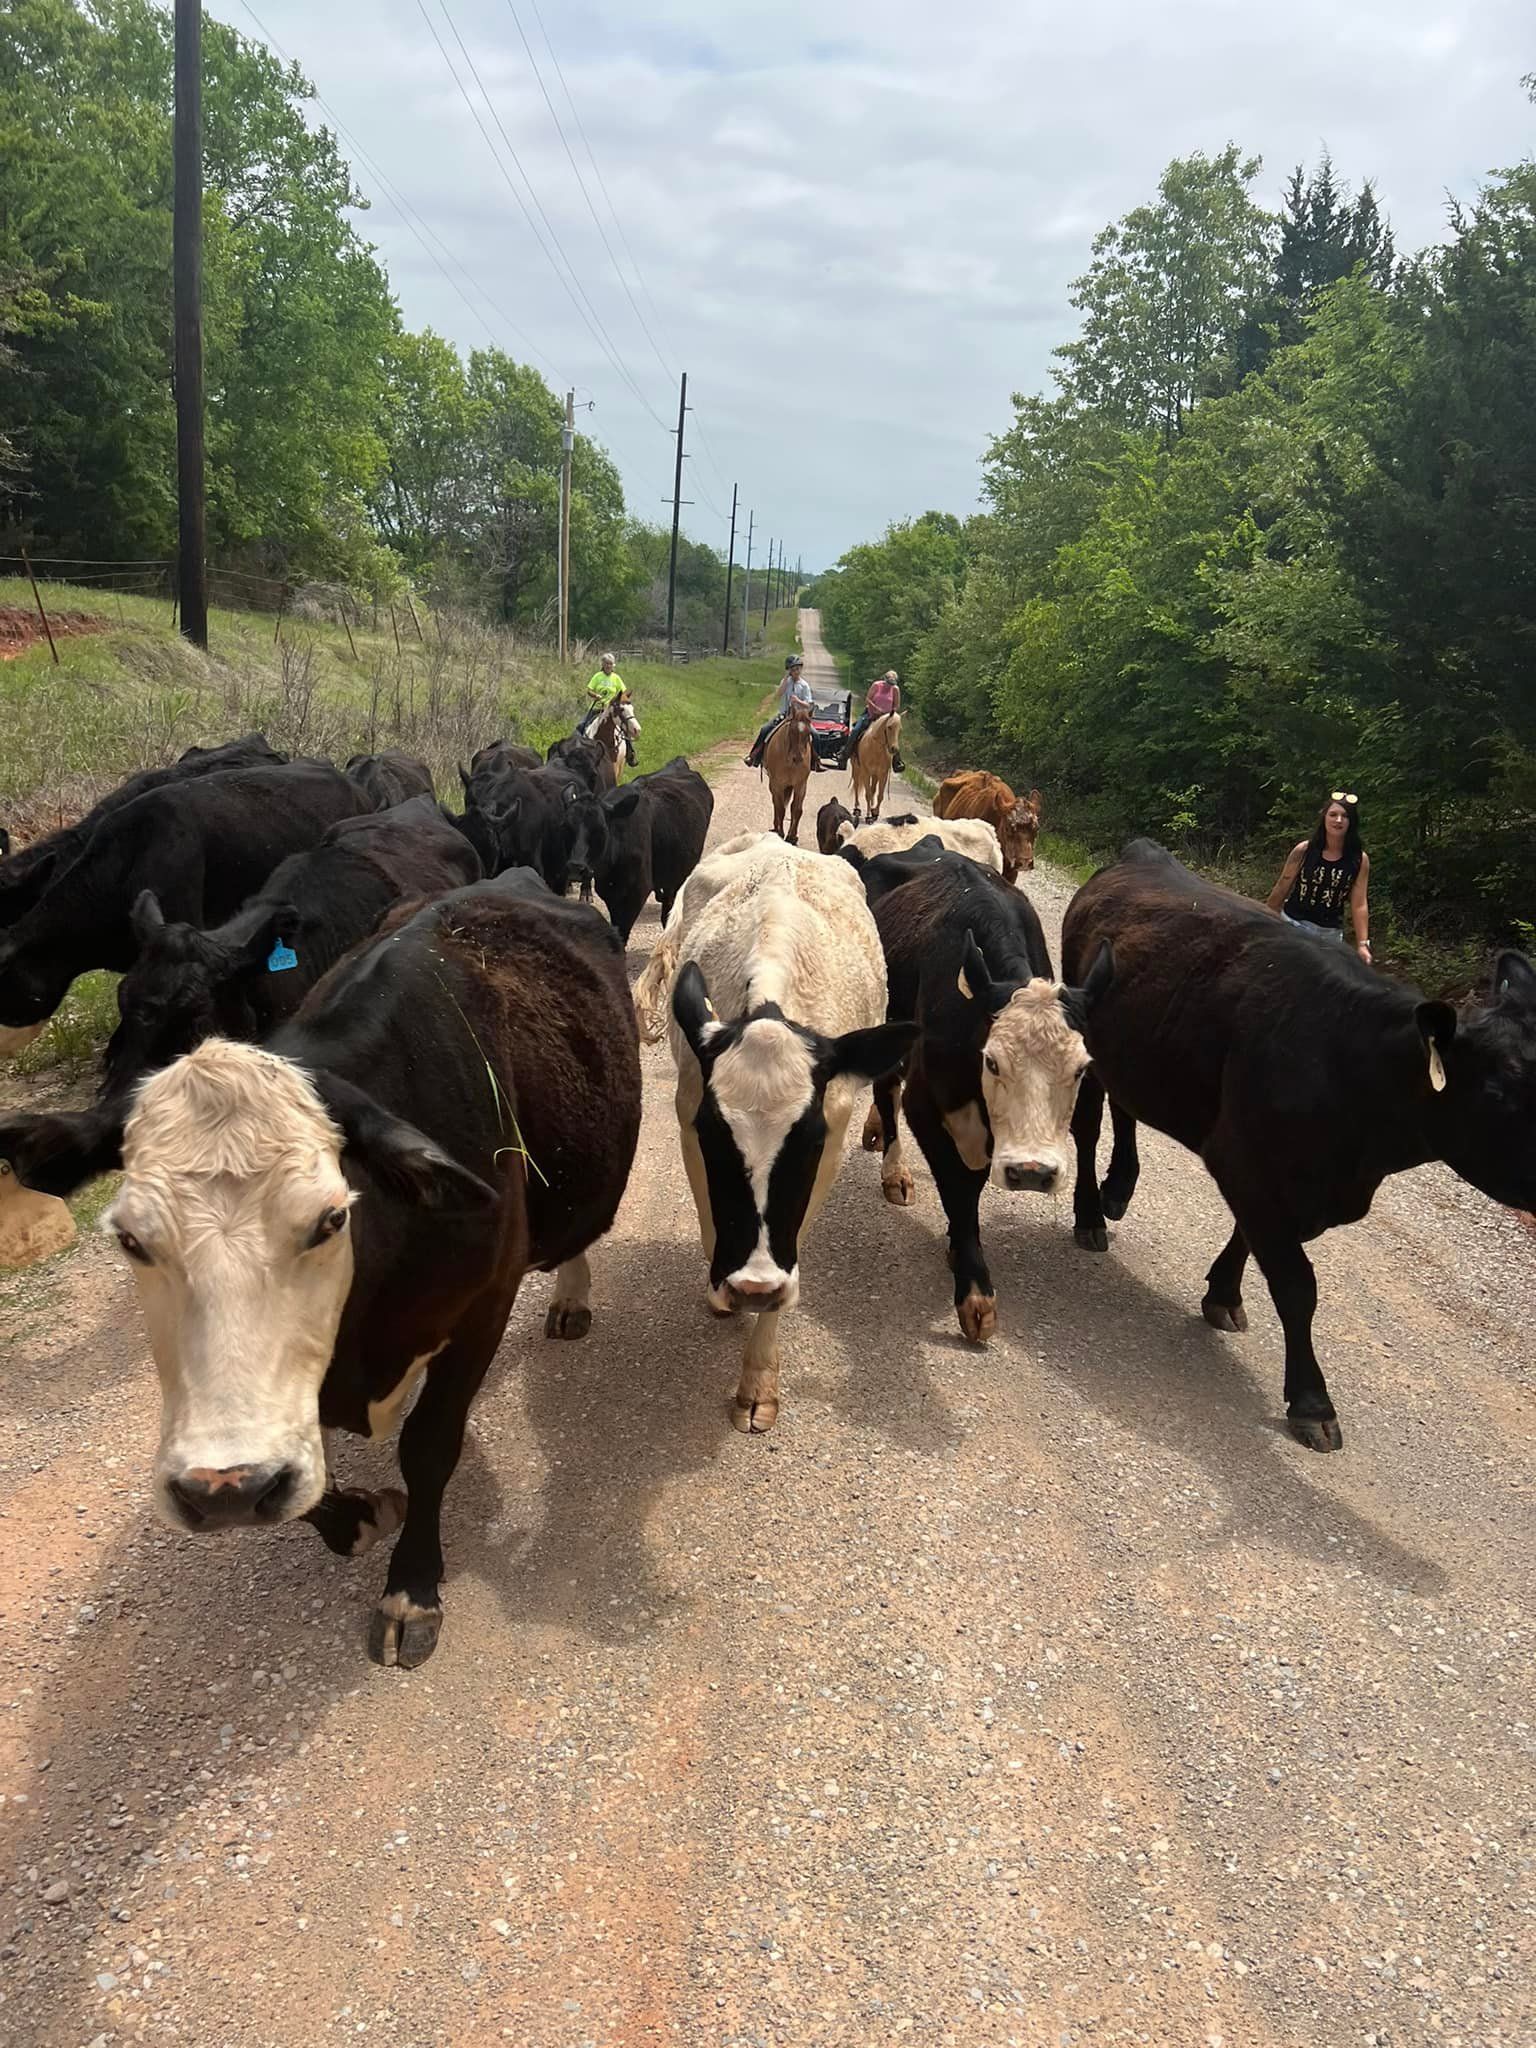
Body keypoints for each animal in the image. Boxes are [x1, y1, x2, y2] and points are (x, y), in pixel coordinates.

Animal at [93, 872, 641, 1667]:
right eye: (131, 1239)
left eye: (331, 1218)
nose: (222, 1490)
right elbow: (310, 1475)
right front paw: (357, 1518)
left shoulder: (484, 1302)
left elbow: (429, 1445)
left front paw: (411, 1589)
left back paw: (571, 1296)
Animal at [635, 834, 915, 1432]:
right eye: (715, 1136)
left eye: (808, 1142)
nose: (754, 1286)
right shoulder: (688, 1114)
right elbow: (709, 1215)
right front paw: (723, 1290)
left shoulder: (829, 1144)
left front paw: (758, 1379)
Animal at [853, 844, 1112, 1343]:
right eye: (991, 1061)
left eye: (1081, 1069)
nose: (1032, 1172)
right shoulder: (925, 1104)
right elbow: (958, 1185)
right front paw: (974, 1291)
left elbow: (970, 1182)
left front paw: (960, 1250)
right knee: (886, 1088)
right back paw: (894, 1171)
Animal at [1063, 839, 1536, 1453]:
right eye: (1500, 1090)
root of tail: (1144, 852)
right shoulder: (1243, 1160)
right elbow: (1296, 1283)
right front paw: (1313, 1402)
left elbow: (1252, 1241)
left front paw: (1224, 1294)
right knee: (1088, 1127)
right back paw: (1091, 1215)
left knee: (1127, 1108)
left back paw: (1118, 1189)